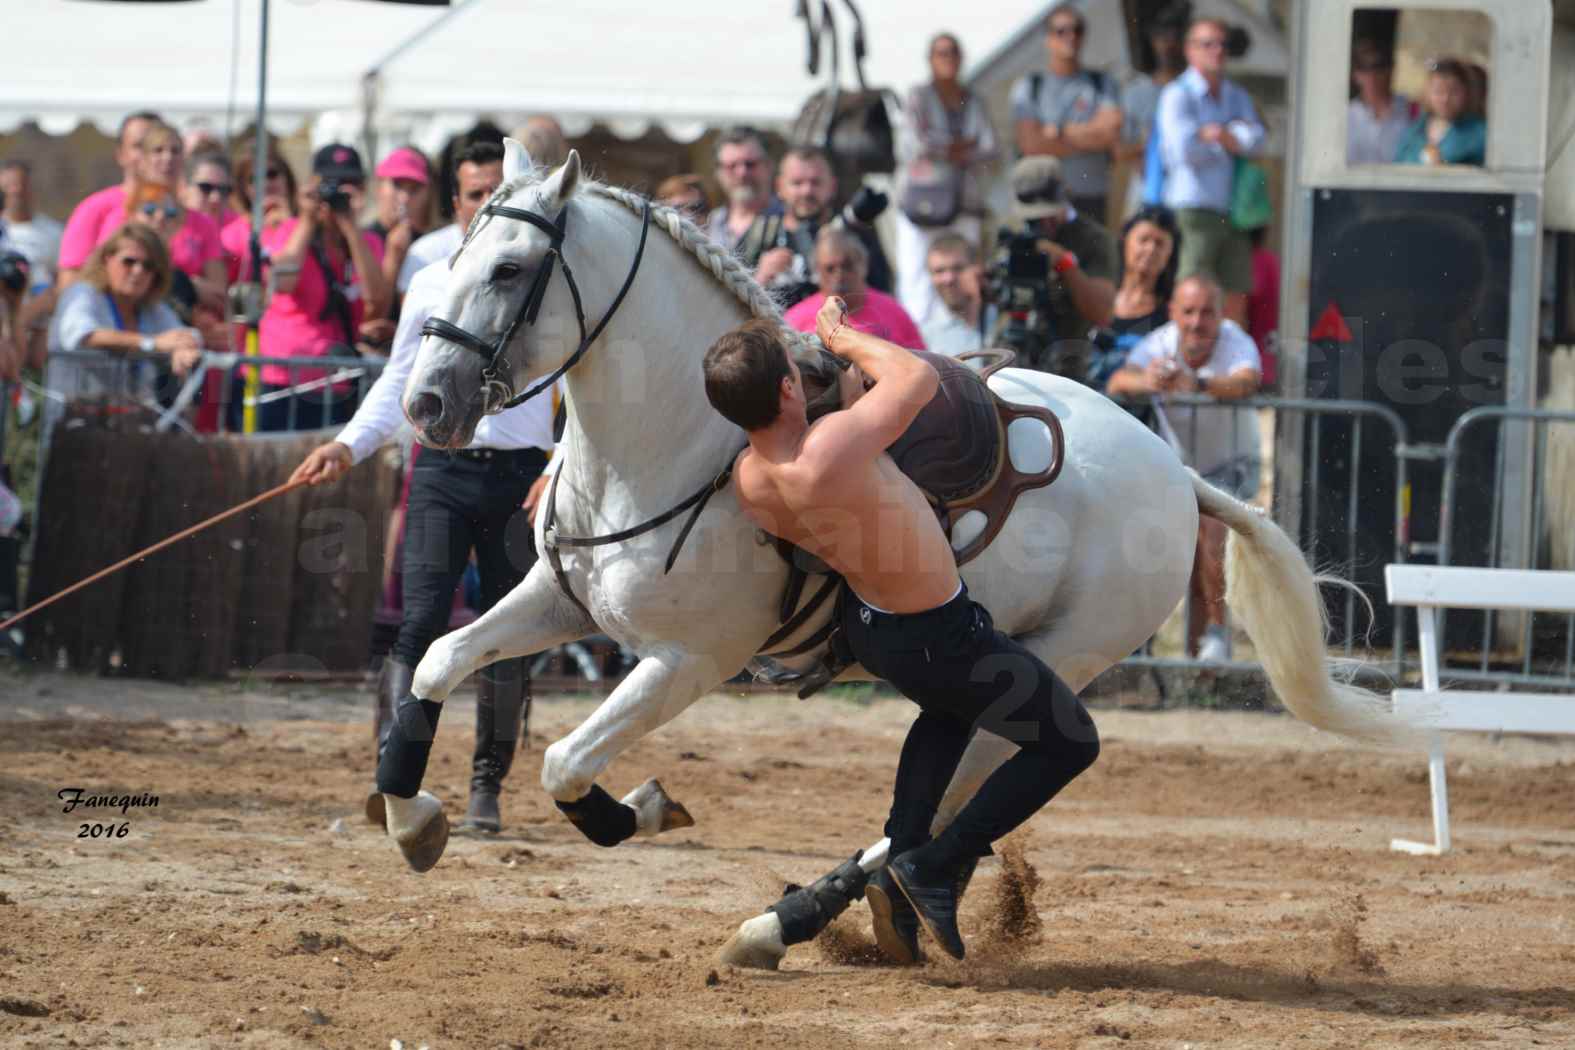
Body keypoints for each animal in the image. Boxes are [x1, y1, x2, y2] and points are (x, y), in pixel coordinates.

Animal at [387, 141, 1411, 969]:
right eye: (449, 257)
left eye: (510, 267)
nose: (426, 403)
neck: (682, 441)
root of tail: (1175, 470)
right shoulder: (556, 604)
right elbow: (437, 661)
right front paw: (412, 816)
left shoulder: (687, 661)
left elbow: (565, 762)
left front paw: (637, 806)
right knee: (933, 799)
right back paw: (861, 915)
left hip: (1048, 662)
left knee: (947, 798)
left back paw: (805, 918)